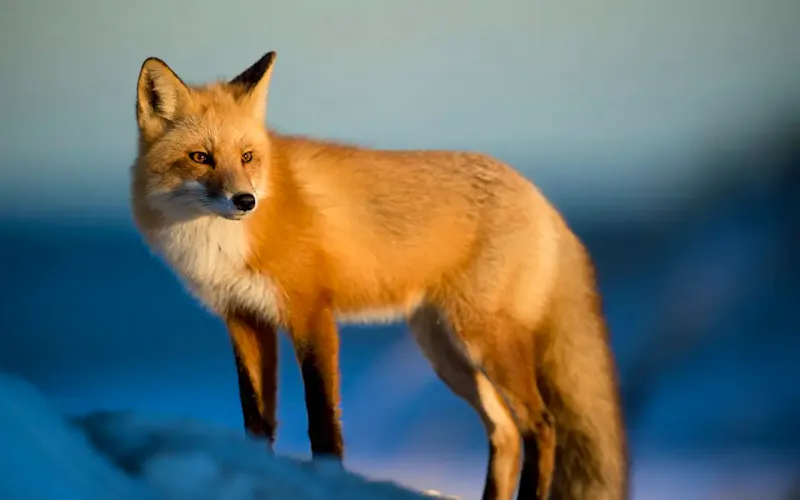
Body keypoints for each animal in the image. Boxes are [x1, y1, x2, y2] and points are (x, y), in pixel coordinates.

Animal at [129, 51, 629, 500]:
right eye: (201, 157)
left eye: (247, 156)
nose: (245, 201)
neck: (221, 242)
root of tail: (541, 199)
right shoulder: (244, 319)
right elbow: (257, 420)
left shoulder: (312, 314)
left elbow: (323, 421)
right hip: (446, 353)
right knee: (505, 432)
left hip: (484, 340)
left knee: (542, 427)